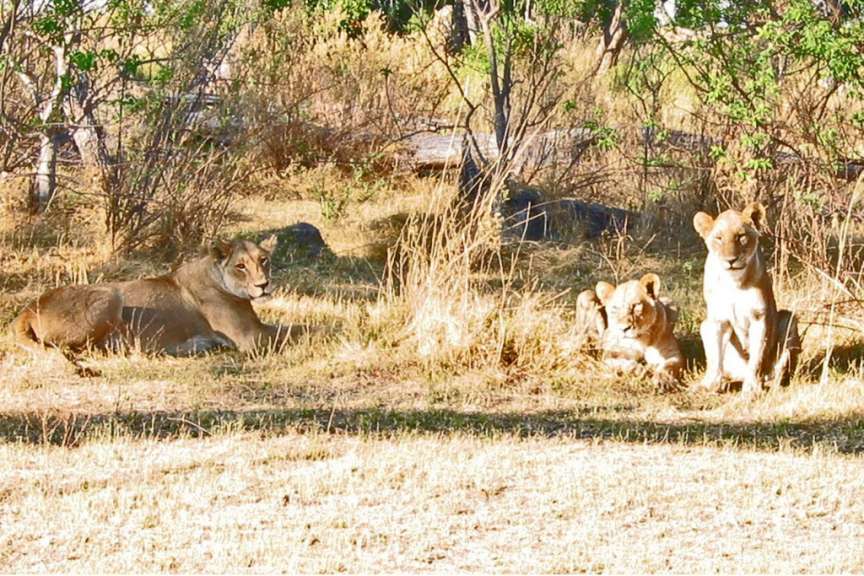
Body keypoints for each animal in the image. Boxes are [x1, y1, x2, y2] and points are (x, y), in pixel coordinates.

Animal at [13, 236, 297, 368]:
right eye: (240, 266)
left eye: (263, 260)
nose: (263, 285)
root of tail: (27, 308)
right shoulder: (250, 338)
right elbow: (298, 330)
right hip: (109, 295)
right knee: (71, 348)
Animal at [693, 202, 800, 394]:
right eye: (719, 238)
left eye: (741, 236)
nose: (731, 260)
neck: (733, 281)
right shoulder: (717, 320)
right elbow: (715, 359)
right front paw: (708, 384)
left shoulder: (759, 317)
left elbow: (756, 358)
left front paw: (751, 388)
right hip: (705, 325)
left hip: (789, 318)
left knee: (773, 373)